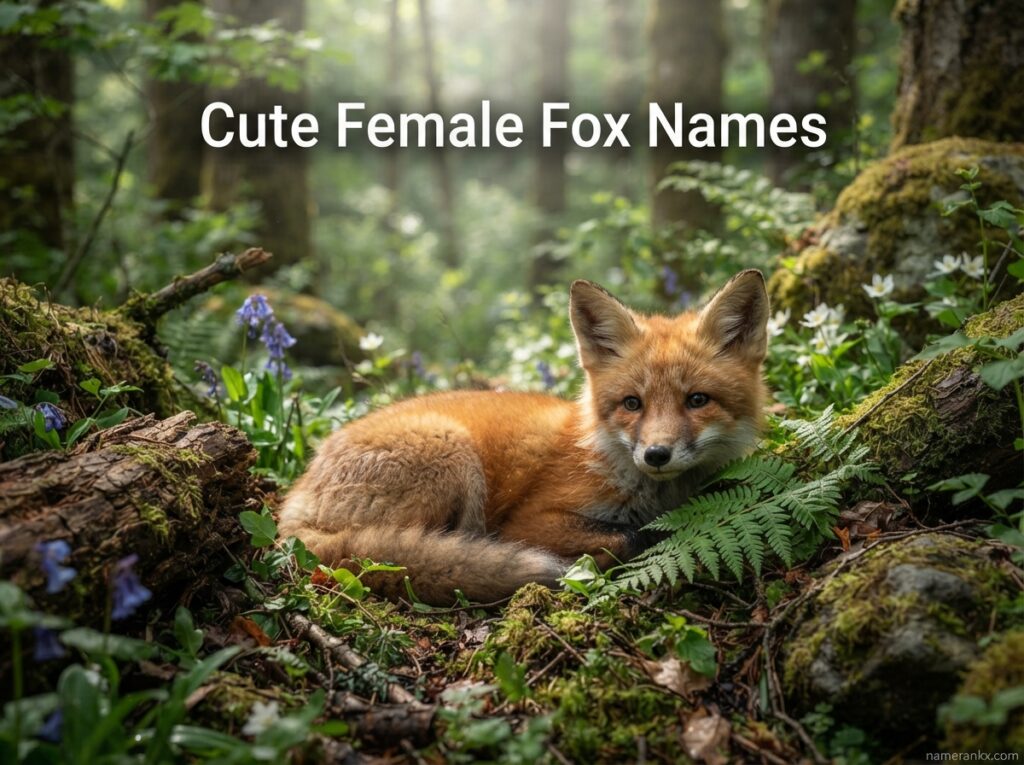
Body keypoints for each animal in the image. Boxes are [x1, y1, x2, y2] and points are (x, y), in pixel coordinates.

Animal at [278, 270, 770, 605]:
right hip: (451, 453)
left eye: (697, 400)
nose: (656, 454)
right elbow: (627, 536)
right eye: (633, 404)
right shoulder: (530, 522)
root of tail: (292, 504)